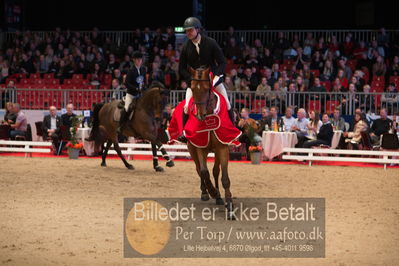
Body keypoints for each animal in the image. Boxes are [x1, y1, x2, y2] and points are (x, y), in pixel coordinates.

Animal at [187, 67, 234, 219]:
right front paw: (212, 191)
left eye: (207, 88)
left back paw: (218, 197)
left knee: (215, 171)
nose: (200, 115)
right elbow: (204, 172)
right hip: (192, 148)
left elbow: (223, 177)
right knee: (199, 169)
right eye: (193, 88)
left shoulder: (222, 147)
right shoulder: (200, 147)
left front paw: (229, 206)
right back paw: (205, 192)